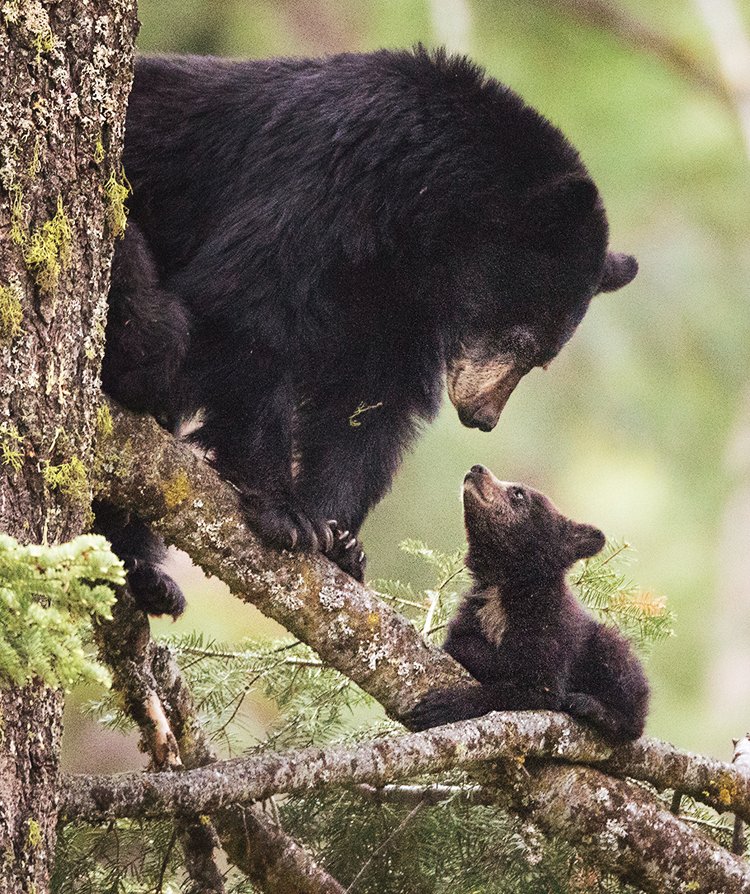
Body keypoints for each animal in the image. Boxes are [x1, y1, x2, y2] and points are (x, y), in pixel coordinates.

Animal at [100, 47, 640, 616]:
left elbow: (371, 400)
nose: (483, 417)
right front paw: (284, 510)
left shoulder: (398, 299)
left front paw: (339, 540)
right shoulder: (323, 177)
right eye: (522, 338)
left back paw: (145, 577)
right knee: (157, 325)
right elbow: (250, 303)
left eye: (540, 360)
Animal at [408, 466, 648, 744]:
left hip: (607, 649)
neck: (505, 586)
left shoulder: (549, 630)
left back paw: (591, 706)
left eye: (519, 493)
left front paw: (445, 704)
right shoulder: (474, 612)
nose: (476, 468)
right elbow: (459, 643)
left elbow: (533, 688)